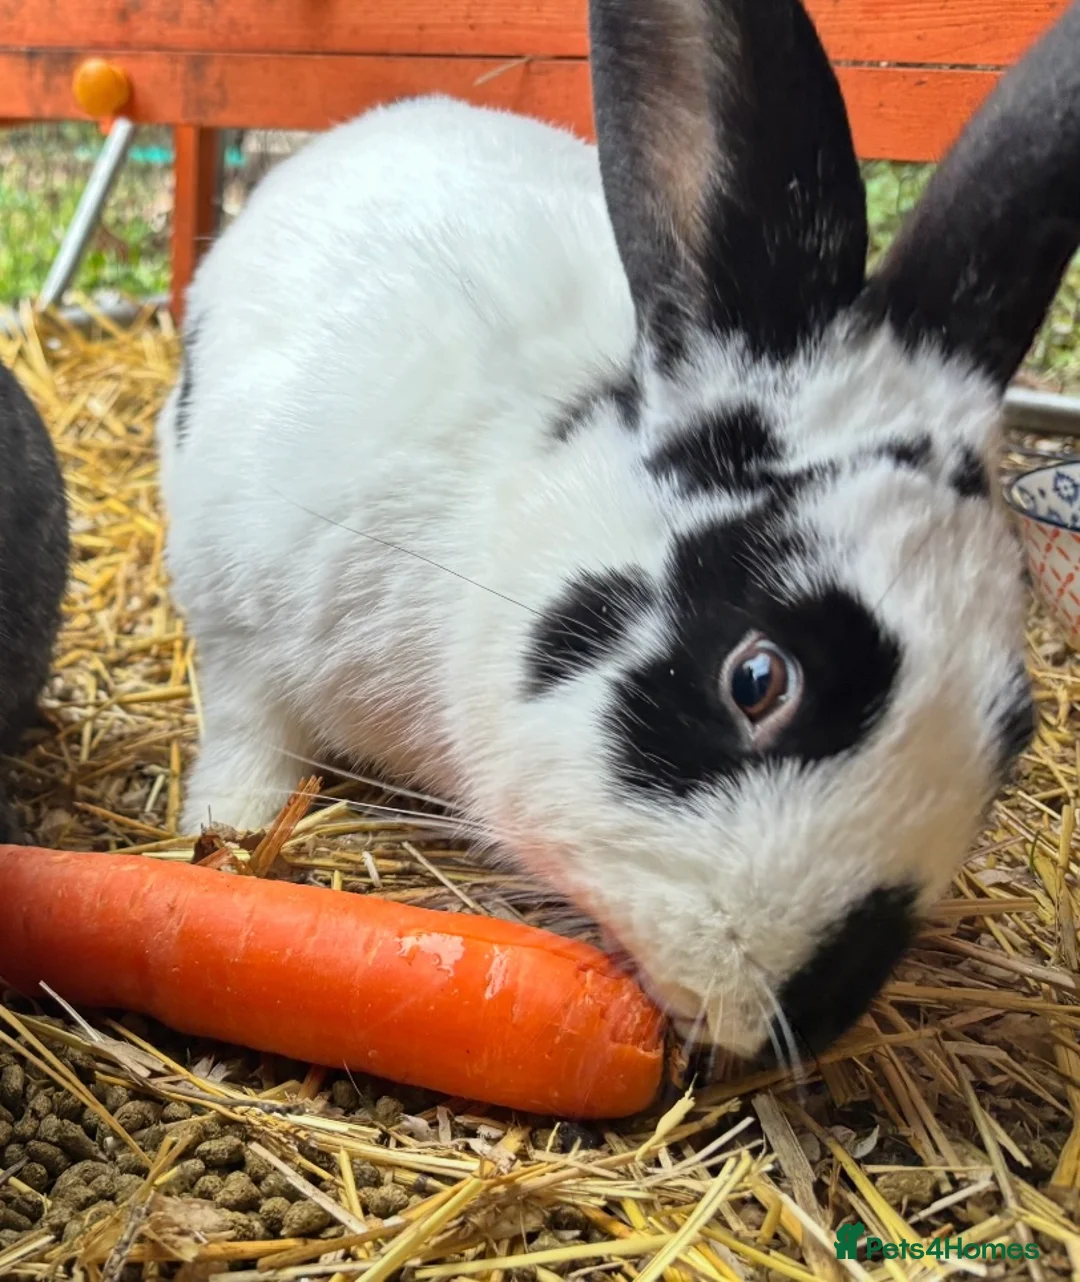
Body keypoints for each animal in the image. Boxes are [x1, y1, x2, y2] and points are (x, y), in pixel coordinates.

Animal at [157, 0, 1080, 1062]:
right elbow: (248, 729)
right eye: (758, 680)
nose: (813, 1013)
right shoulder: (236, 609)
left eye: (1015, 732)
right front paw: (227, 827)